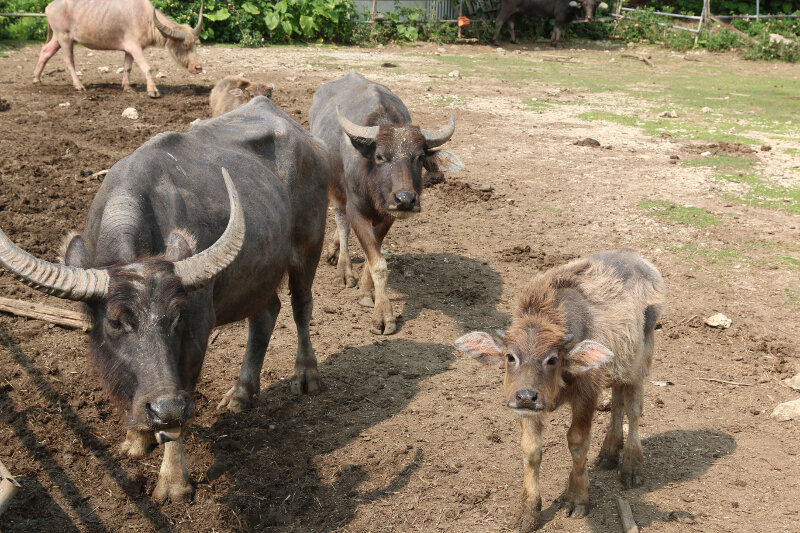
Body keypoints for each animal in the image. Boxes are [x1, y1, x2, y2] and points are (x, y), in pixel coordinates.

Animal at [0, 97, 328, 500]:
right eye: (115, 322)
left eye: (178, 318)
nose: (163, 407)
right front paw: (136, 437)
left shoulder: (194, 345)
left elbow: (178, 417)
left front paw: (173, 482)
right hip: (259, 271)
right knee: (266, 312)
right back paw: (240, 394)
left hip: (308, 246)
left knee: (301, 305)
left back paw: (306, 375)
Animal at [32, 0, 205, 97]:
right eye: (184, 45)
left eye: (195, 45)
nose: (198, 67)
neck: (146, 18)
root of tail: (49, 7)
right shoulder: (135, 47)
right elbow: (146, 67)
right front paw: (153, 91)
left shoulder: (128, 49)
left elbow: (127, 67)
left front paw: (127, 87)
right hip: (65, 37)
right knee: (69, 60)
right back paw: (79, 86)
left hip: (57, 37)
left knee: (46, 51)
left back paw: (36, 79)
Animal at [310, 72, 462, 334]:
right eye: (380, 156)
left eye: (419, 157)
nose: (405, 200)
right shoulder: (356, 210)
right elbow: (377, 262)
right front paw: (383, 316)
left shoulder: (388, 216)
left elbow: (373, 255)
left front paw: (366, 291)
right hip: (335, 189)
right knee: (341, 220)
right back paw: (343, 270)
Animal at [454, 250, 664, 532]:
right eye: (510, 356)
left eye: (552, 359)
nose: (526, 396)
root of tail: (636, 258)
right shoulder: (527, 411)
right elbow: (531, 449)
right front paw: (528, 511)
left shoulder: (587, 393)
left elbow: (577, 442)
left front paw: (576, 498)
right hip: (620, 364)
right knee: (617, 402)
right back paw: (608, 453)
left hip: (641, 359)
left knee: (633, 409)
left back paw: (631, 467)